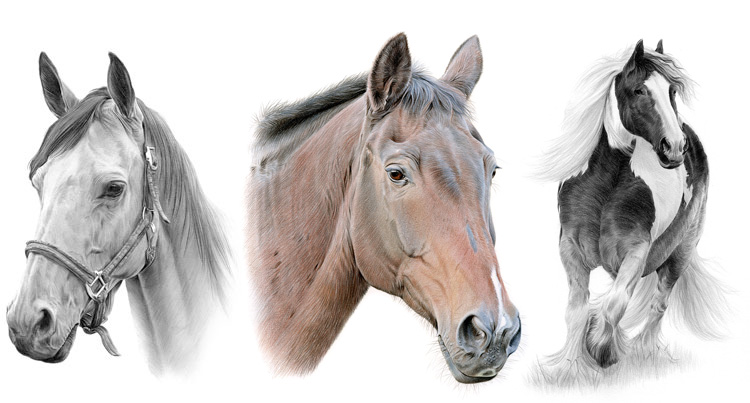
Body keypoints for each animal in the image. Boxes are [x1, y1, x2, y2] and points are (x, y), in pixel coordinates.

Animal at [537, 40, 726, 380]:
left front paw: (602, 350)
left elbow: (615, 305)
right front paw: (571, 367)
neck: (607, 183)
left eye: (672, 91)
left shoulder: (637, 252)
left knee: (658, 304)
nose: (675, 147)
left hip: (681, 251)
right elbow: (576, 311)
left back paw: (645, 350)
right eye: (639, 90)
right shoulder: (570, 248)